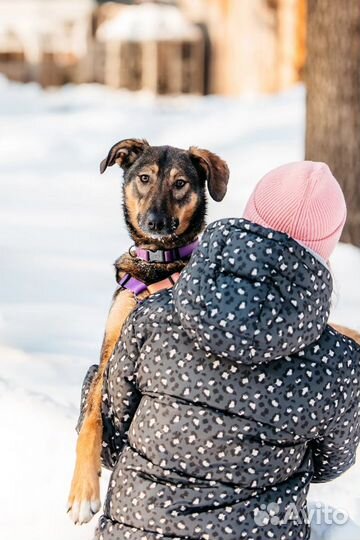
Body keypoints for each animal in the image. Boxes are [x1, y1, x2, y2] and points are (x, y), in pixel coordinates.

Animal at [67, 138, 231, 524]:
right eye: (144, 178)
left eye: (180, 183)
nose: (156, 221)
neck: (157, 262)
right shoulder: (109, 352)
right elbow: (91, 419)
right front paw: (83, 491)